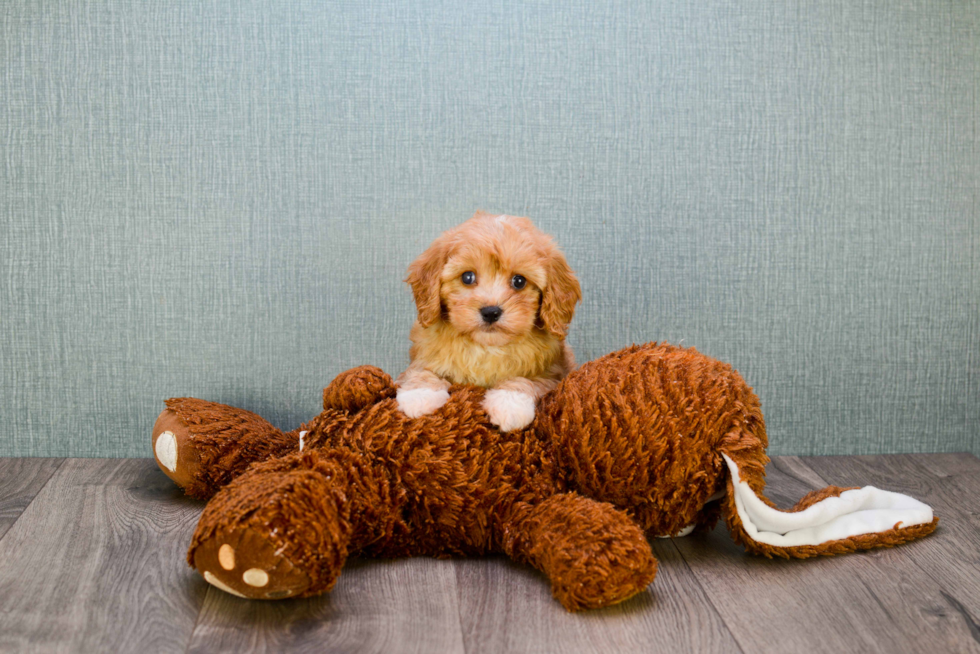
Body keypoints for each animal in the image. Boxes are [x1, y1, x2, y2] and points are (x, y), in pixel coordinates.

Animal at [396, 213, 580, 434]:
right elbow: (419, 371)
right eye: (467, 277)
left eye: (519, 281)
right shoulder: (421, 356)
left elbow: (527, 380)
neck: (486, 347)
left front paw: (509, 403)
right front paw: (420, 395)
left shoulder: (554, 375)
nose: (491, 312)